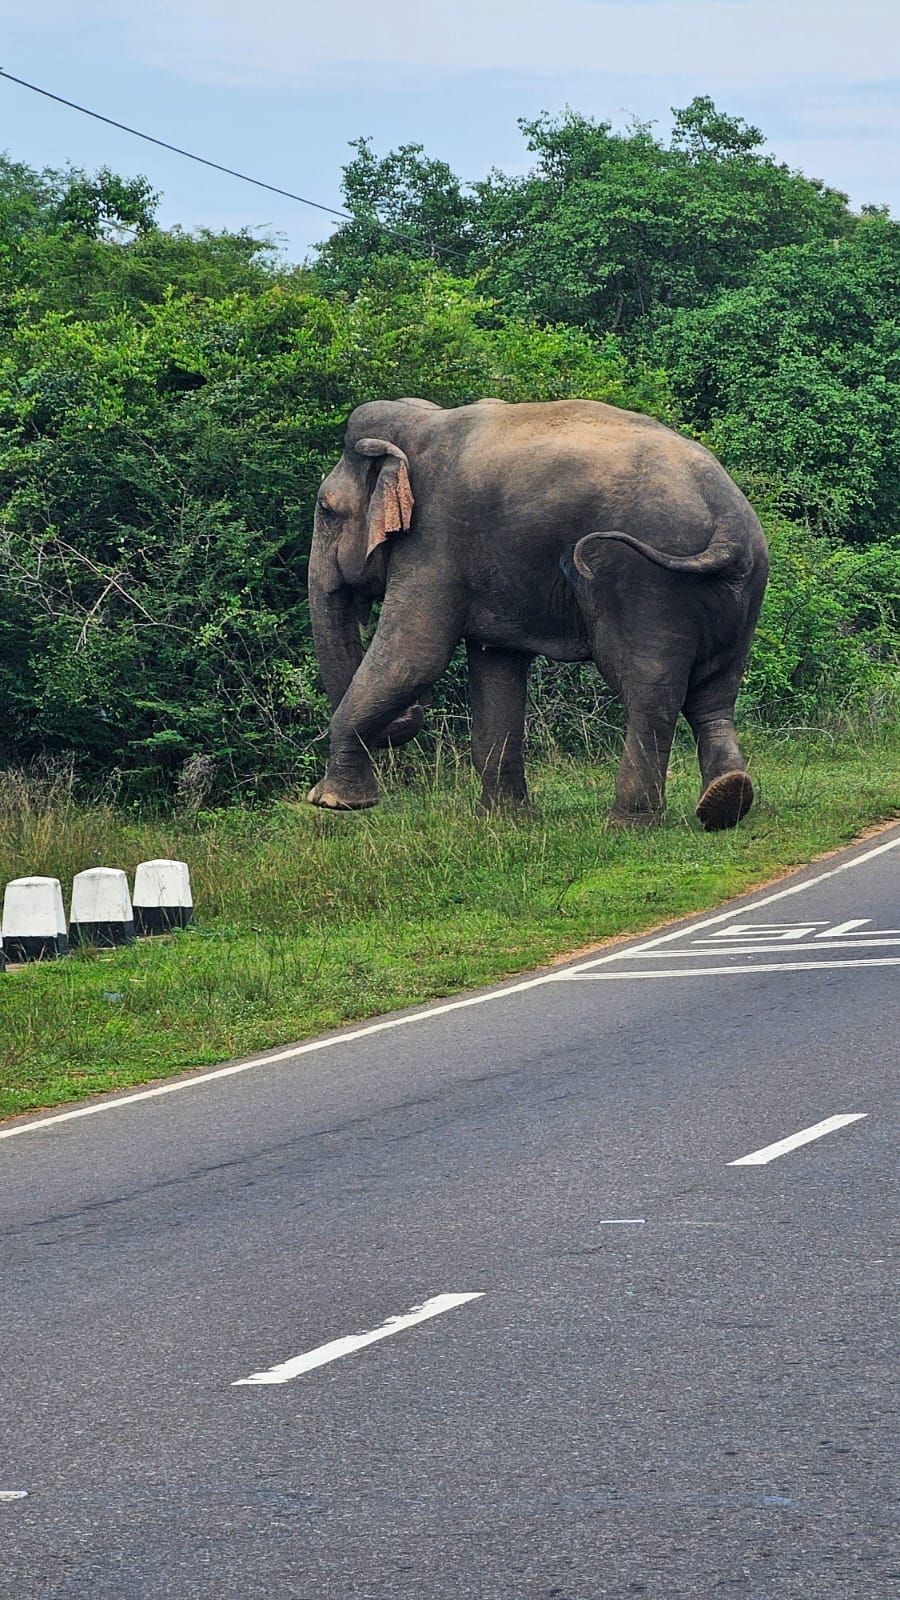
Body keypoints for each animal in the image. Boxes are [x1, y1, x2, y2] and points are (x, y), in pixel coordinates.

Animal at [307, 397, 768, 830]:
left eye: (326, 510)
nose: (417, 713)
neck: (421, 422)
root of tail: (726, 521)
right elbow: (496, 666)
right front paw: (505, 820)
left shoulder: (433, 540)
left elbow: (414, 657)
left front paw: (333, 802)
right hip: (742, 588)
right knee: (715, 694)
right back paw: (725, 801)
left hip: (649, 581)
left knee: (650, 690)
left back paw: (627, 824)